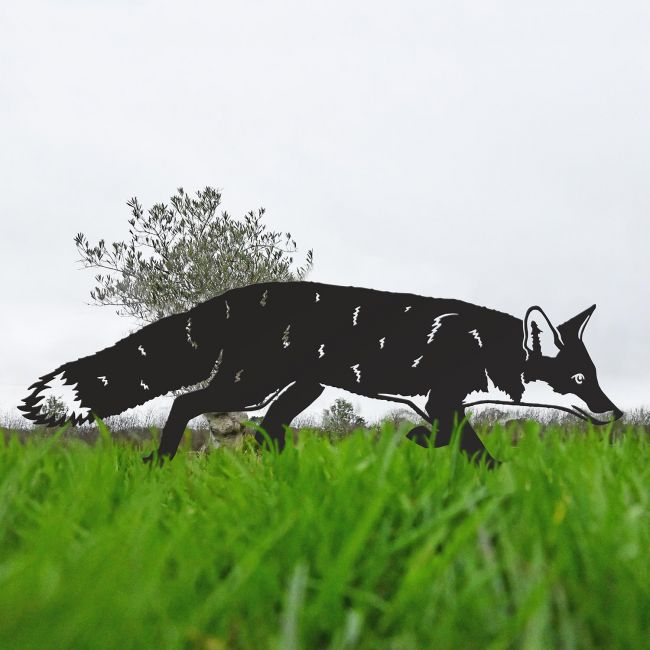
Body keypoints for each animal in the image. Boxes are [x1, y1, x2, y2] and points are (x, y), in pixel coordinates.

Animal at [20, 281, 622, 465]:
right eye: (580, 381)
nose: (614, 412)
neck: (482, 347)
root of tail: (237, 295)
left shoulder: (437, 403)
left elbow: (442, 435)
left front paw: (417, 442)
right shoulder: (441, 398)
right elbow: (471, 446)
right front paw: (497, 475)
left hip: (300, 389)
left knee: (267, 431)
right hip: (253, 385)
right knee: (185, 403)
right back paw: (161, 461)